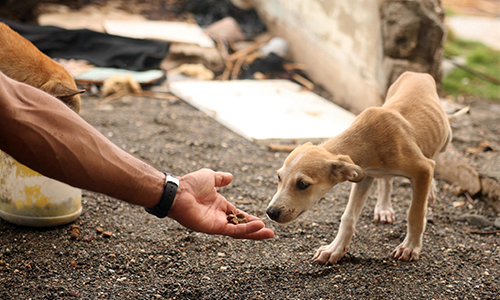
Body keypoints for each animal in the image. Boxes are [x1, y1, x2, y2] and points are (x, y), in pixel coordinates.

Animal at [268, 71, 452, 264]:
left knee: (434, 156)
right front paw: (335, 249)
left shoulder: (422, 169)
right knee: (386, 180)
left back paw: (430, 191)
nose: (270, 212)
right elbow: (348, 217)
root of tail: (417, 73)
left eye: (303, 184)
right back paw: (384, 208)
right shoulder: (364, 175)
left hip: (446, 139)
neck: (368, 138)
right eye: (279, 178)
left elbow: (415, 213)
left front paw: (410, 247)